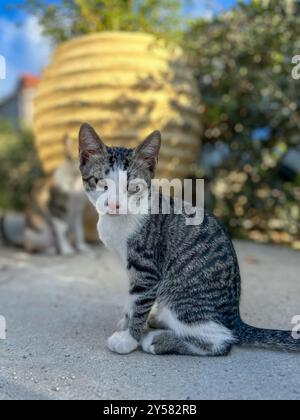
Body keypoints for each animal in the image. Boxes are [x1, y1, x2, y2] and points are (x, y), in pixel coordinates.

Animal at [78, 123, 298, 356]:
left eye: (133, 187)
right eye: (100, 182)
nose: (114, 204)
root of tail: (234, 320)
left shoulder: (147, 269)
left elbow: (139, 301)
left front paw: (129, 338)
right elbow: (132, 299)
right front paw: (126, 322)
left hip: (183, 298)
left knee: (220, 342)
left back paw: (158, 340)